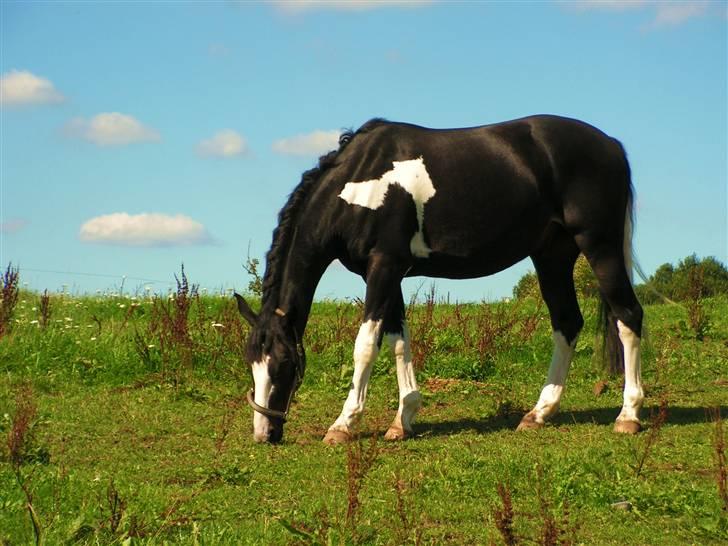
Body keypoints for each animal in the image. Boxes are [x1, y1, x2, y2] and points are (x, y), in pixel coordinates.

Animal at [233, 115, 644, 442]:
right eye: (252, 364)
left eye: (282, 364)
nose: (264, 434)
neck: (359, 182)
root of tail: (611, 144)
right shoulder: (388, 274)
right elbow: (399, 342)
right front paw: (402, 420)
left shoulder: (383, 268)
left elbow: (365, 345)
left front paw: (343, 424)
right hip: (552, 257)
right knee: (567, 323)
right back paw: (539, 413)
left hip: (600, 246)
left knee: (628, 316)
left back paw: (628, 415)